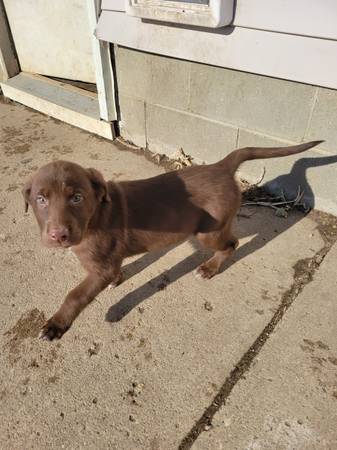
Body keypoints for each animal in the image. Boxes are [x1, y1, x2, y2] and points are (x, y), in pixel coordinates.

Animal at [22, 139, 322, 340]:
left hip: (209, 232)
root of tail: (221, 167)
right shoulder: (104, 263)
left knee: (231, 244)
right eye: (40, 199)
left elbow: (76, 294)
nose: (58, 235)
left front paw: (56, 324)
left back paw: (209, 268)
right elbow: (109, 272)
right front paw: (117, 280)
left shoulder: (99, 267)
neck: (95, 216)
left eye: (77, 197)